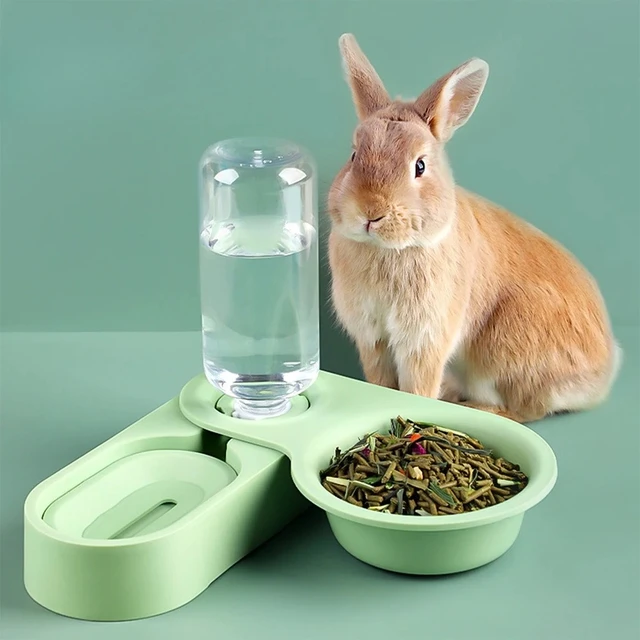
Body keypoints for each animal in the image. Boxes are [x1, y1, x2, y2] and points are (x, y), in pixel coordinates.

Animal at [327, 33, 622, 423]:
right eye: (353, 155)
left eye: (420, 166)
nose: (371, 211)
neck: (390, 249)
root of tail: (602, 376)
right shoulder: (372, 337)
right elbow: (379, 381)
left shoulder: (424, 338)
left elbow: (416, 385)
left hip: (510, 344)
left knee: (523, 409)